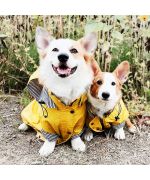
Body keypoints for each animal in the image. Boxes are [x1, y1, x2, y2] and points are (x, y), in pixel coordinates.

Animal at [18, 26, 97, 156]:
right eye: (55, 49)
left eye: (74, 50)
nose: (63, 56)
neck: (64, 84)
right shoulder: (46, 123)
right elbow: (50, 137)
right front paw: (47, 148)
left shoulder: (79, 120)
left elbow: (76, 133)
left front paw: (77, 143)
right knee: (27, 120)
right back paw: (23, 126)